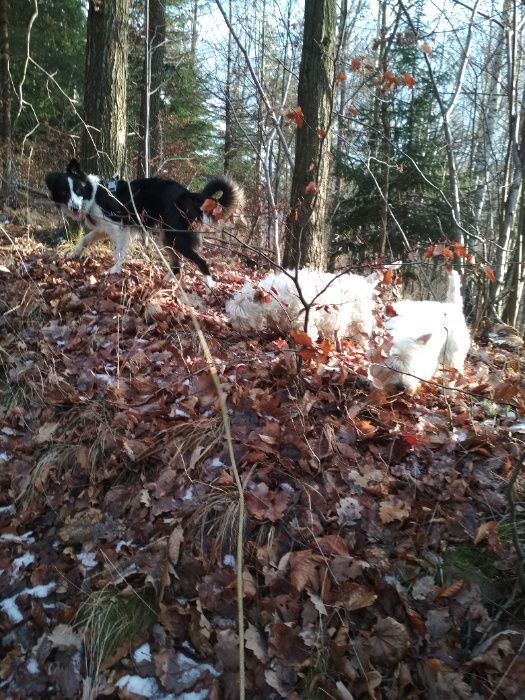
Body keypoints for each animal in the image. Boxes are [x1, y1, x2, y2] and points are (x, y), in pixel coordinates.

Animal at [45, 159, 242, 288]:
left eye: (78, 189)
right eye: (64, 192)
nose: (74, 207)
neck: (94, 194)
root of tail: (189, 194)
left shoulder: (118, 228)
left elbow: (118, 252)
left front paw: (115, 270)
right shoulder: (103, 228)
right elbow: (84, 240)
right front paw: (73, 254)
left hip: (174, 236)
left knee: (201, 261)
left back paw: (209, 285)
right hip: (166, 237)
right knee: (178, 263)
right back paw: (167, 280)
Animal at [225, 266, 380, 346]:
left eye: (240, 312)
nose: (229, 324)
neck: (278, 297)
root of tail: (365, 282)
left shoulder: (302, 320)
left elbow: (305, 335)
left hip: (361, 320)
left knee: (363, 334)